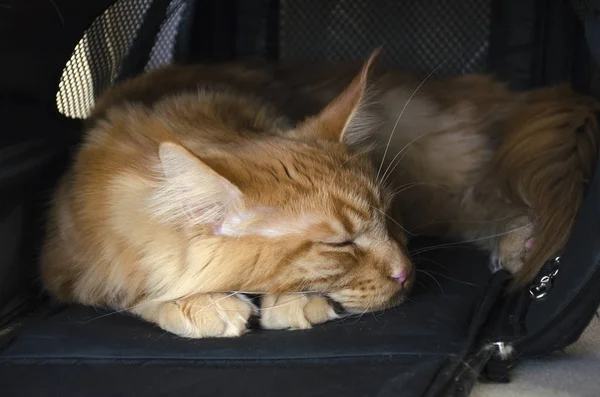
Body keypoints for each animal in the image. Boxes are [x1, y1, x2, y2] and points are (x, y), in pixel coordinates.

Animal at [39, 51, 414, 338]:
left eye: (391, 214)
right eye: (340, 244)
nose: (406, 273)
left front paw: (297, 299)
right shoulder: (69, 269)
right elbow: (126, 289)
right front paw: (195, 302)